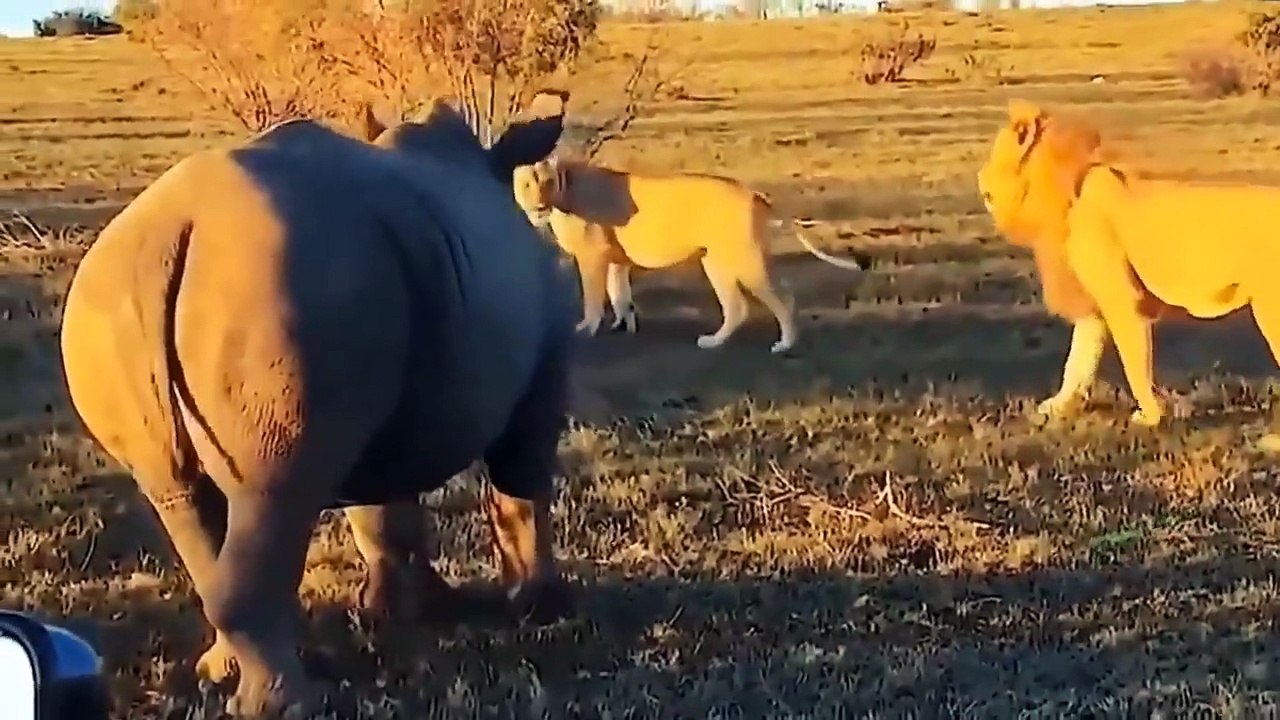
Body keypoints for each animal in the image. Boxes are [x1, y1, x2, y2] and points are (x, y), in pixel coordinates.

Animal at [58, 90, 579, 716]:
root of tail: (169, 231)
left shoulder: (385, 376)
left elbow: (382, 510)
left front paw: (404, 611)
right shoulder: (542, 361)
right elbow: (522, 485)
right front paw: (540, 607)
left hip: (120, 298)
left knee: (181, 494)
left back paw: (221, 673)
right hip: (280, 290)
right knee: (275, 493)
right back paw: (287, 702)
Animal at [512, 157, 867, 354]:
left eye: (545, 182)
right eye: (528, 185)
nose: (538, 204)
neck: (563, 191)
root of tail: (752, 192)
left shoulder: (592, 258)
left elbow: (594, 298)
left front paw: (587, 328)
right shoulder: (614, 260)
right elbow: (619, 294)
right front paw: (623, 325)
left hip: (746, 259)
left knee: (784, 296)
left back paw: (785, 344)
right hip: (716, 261)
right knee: (736, 307)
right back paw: (713, 341)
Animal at [978, 98, 1280, 439]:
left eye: (993, 155)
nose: (979, 177)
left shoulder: (1120, 298)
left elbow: (1133, 360)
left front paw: (1150, 415)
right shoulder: (1093, 305)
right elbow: (1077, 361)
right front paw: (1058, 406)